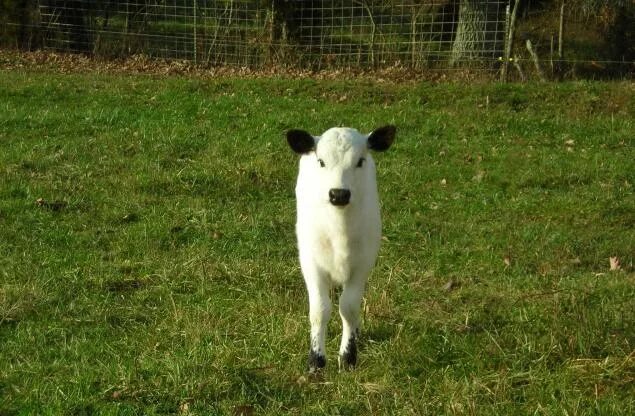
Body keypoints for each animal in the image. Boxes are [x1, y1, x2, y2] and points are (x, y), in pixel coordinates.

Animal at [286, 123, 396, 370]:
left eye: (360, 161)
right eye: (321, 162)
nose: (339, 194)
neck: (340, 231)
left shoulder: (363, 264)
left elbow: (349, 307)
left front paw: (348, 356)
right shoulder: (310, 262)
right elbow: (320, 310)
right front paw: (316, 360)